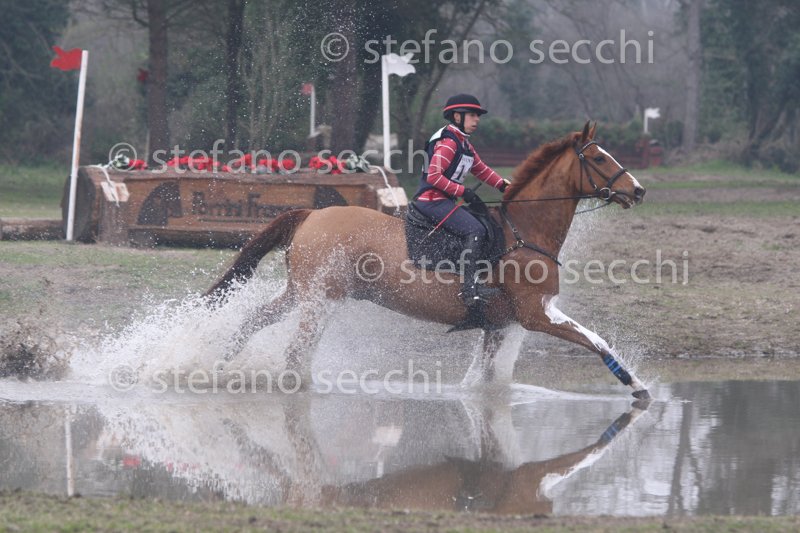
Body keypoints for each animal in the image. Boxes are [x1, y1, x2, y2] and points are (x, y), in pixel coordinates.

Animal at [206, 122, 650, 399]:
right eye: (600, 159)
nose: (639, 190)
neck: (524, 233)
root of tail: (313, 215)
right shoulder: (535, 314)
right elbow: (595, 340)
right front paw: (635, 384)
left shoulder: (501, 324)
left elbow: (485, 379)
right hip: (321, 299)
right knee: (296, 351)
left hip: (301, 293)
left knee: (255, 320)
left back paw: (217, 364)